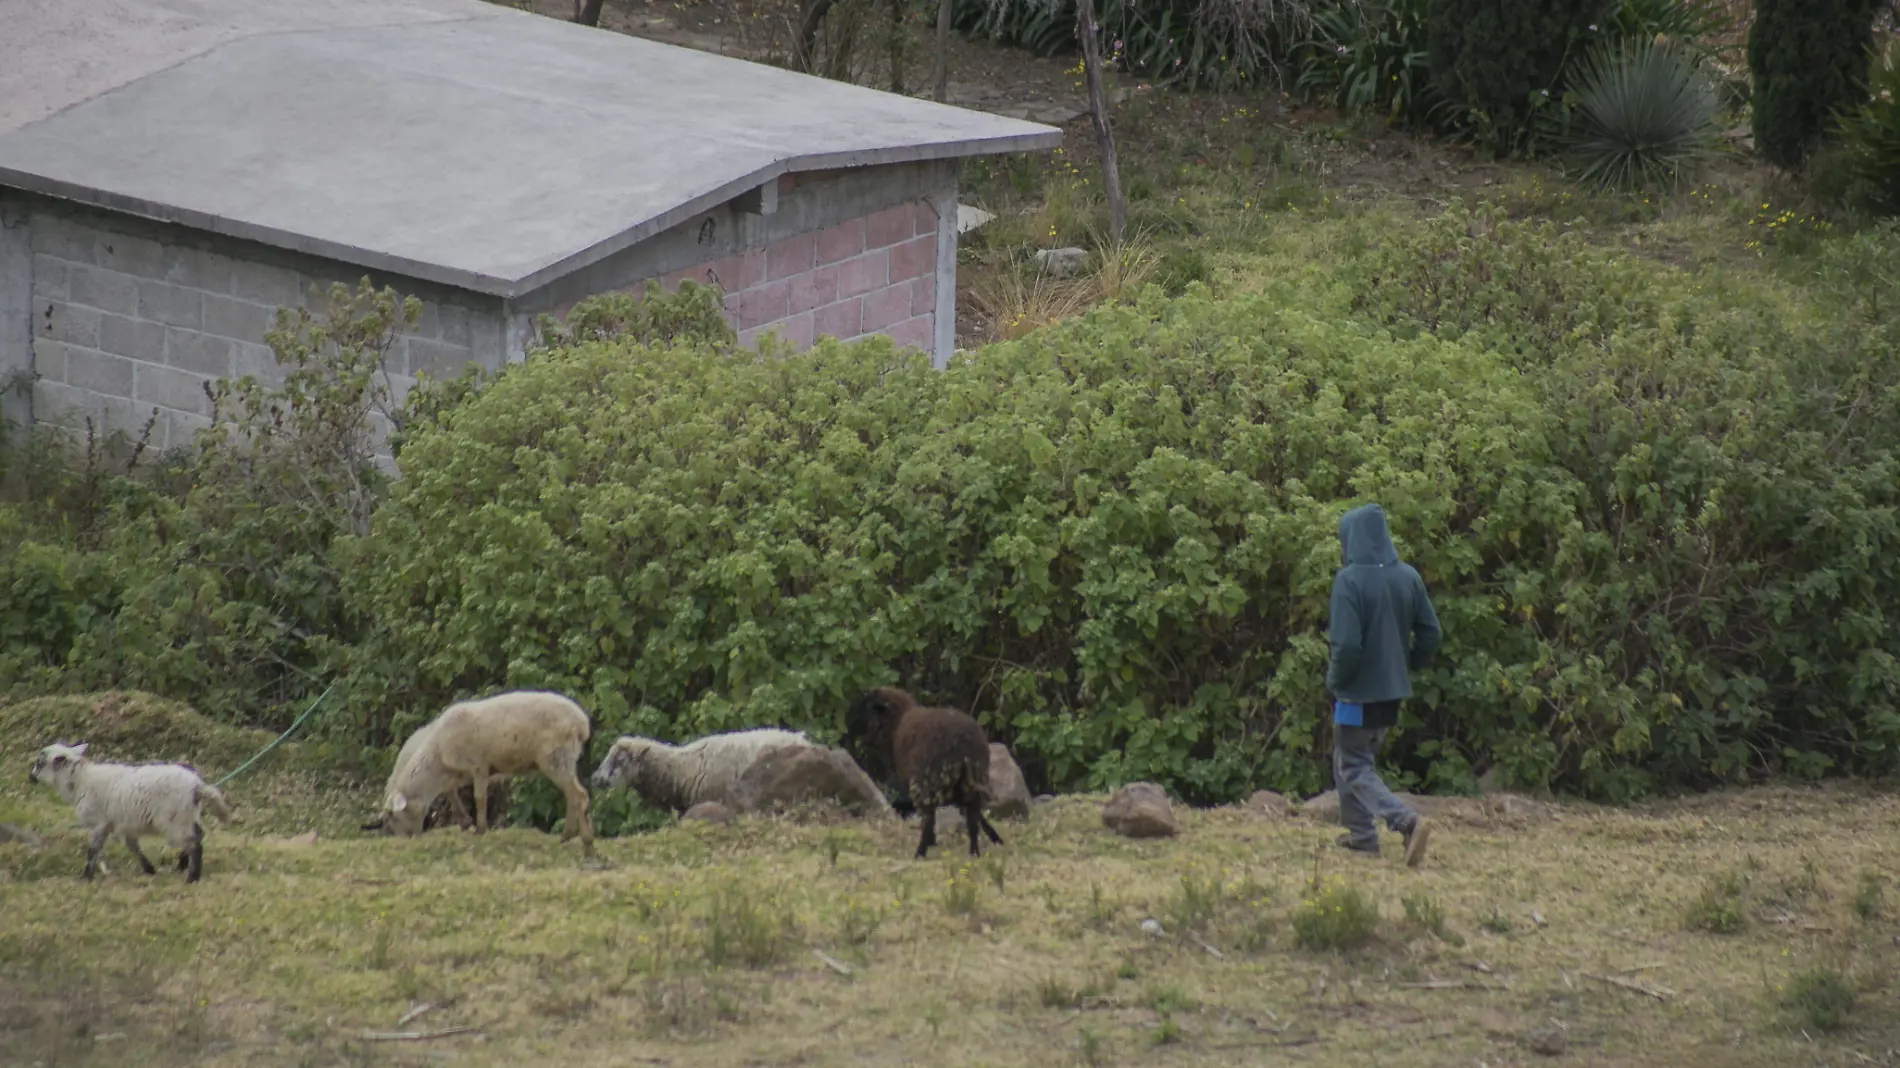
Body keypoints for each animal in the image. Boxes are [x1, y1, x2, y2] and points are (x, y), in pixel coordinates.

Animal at [28, 741, 234, 881]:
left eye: (39, 762)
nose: (30, 778)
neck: (80, 781)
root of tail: (197, 785)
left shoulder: (99, 823)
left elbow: (93, 851)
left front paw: (86, 877)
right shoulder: (123, 825)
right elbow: (133, 847)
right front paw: (149, 869)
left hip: (172, 821)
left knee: (195, 844)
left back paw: (192, 877)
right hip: (186, 815)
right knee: (198, 835)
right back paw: (183, 864)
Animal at [359, 684, 589, 851]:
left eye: (391, 817)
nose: (400, 841)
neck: (436, 754)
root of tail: (582, 722)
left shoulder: (479, 766)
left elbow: (479, 798)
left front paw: (480, 828)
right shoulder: (457, 774)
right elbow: (454, 795)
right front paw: (466, 822)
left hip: (556, 757)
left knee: (578, 795)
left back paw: (574, 837)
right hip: (565, 759)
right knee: (577, 795)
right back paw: (580, 837)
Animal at [843, 691, 1003, 855]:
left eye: (866, 706)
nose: (848, 725)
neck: (896, 724)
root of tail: (963, 746)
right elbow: (978, 817)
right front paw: (996, 838)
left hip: (927, 781)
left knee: (928, 819)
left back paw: (920, 853)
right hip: (973, 781)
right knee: (972, 819)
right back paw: (974, 852)